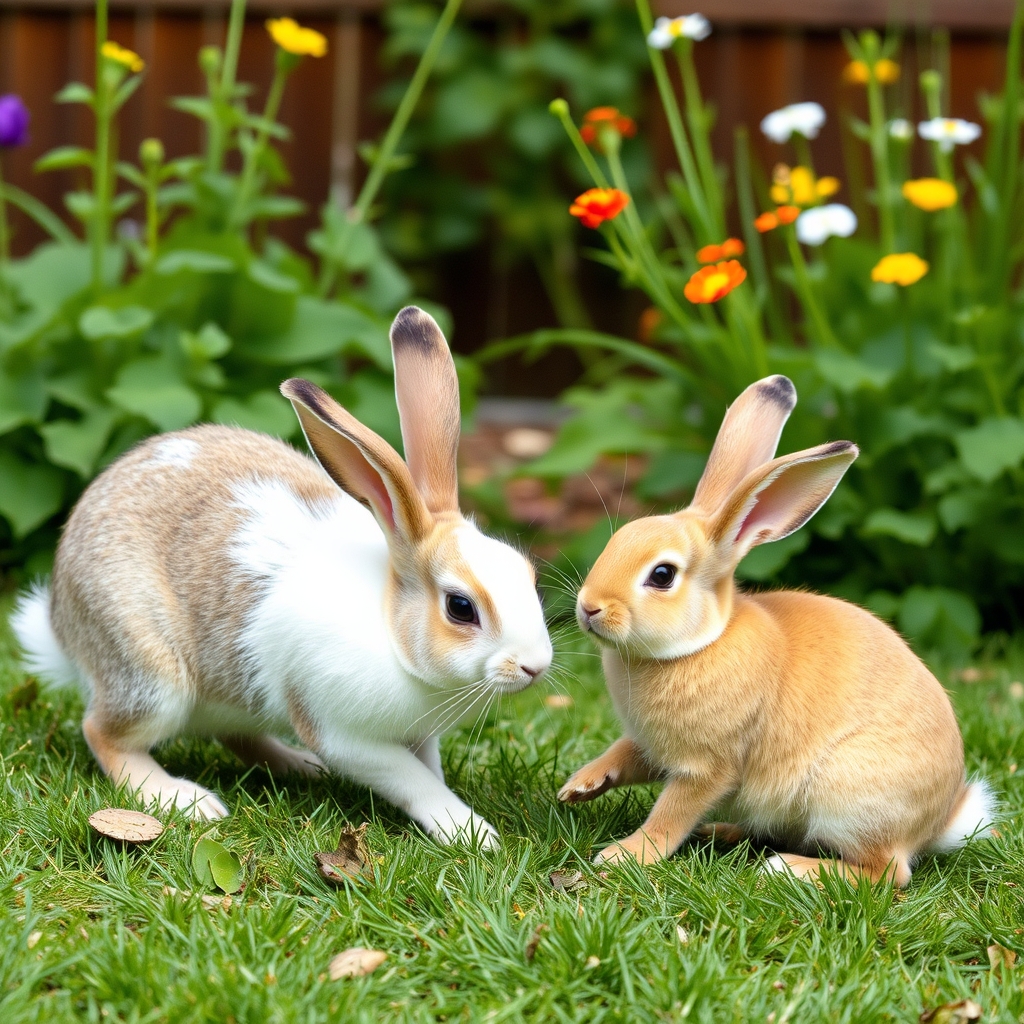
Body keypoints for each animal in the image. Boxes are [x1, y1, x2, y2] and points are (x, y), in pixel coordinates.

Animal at [12, 306, 552, 847]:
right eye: (460, 607)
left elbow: (429, 769)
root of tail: (60, 620)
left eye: (527, 574)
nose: (535, 665)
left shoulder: (420, 735)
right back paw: (184, 799)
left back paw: (300, 767)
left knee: (237, 735)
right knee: (103, 734)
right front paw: (469, 832)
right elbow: (413, 780)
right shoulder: (343, 734)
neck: (391, 630)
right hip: (151, 676)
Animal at [557, 374, 993, 885]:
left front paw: (623, 856)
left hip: (850, 800)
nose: (589, 608)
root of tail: (934, 825)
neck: (700, 642)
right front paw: (580, 785)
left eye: (662, 575)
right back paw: (725, 834)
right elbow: (624, 755)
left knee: (887, 873)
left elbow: (671, 813)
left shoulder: (708, 768)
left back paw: (787, 868)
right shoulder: (649, 746)